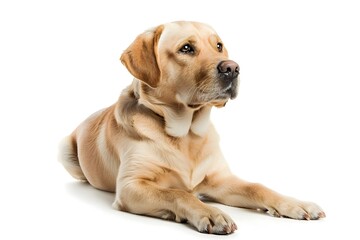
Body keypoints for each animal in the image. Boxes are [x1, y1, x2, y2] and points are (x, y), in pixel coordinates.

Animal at [58, 20, 324, 234]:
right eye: (186, 48)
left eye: (219, 46)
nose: (232, 68)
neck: (187, 134)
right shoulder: (131, 186)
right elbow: (178, 192)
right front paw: (210, 213)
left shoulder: (220, 179)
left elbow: (257, 187)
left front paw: (295, 203)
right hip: (64, 150)